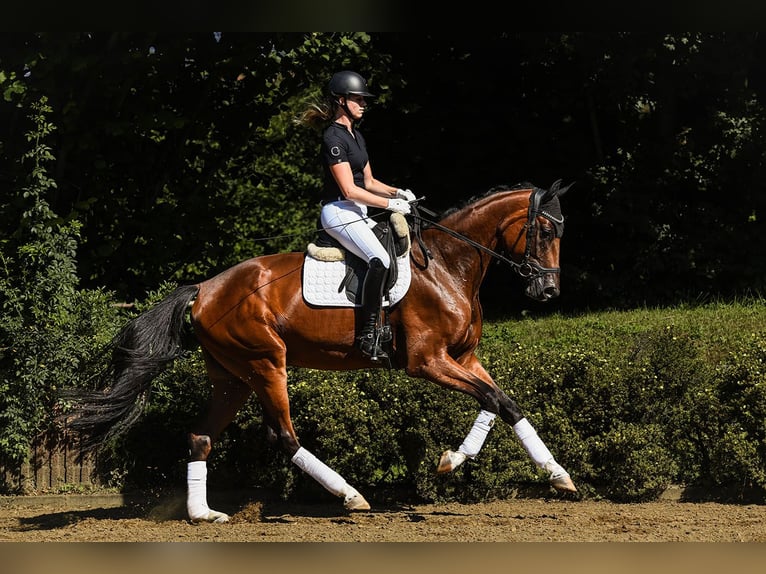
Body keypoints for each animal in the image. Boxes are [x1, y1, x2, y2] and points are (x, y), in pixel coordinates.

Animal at [64, 179, 576, 520]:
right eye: (546, 232)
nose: (549, 292)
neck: (450, 265)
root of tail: (204, 288)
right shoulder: (427, 361)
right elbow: (491, 399)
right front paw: (454, 462)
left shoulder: (465, 358)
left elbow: (503, 402)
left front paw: (556, 475)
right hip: (266, 364)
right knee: (285, 437)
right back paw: (350, 496)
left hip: (232, 377)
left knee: (200, 436)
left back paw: (203, 514)